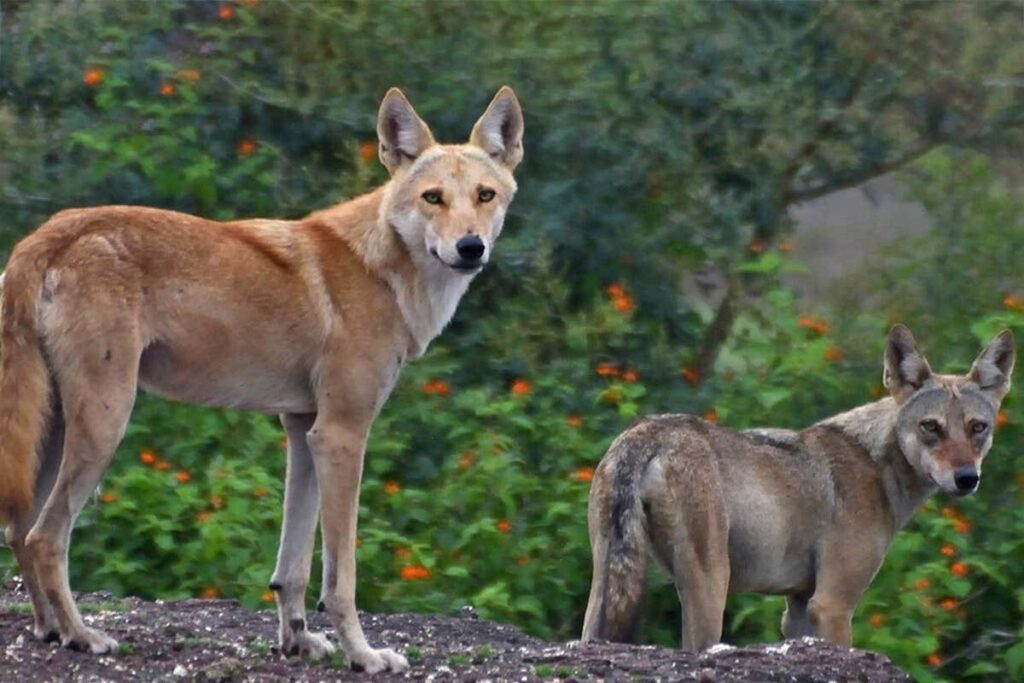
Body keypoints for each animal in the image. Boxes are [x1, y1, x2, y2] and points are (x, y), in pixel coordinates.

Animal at [0, 87, 524, 671]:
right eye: (433, 198)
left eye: (484, 195)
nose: (471, 247)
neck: (382, 271)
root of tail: (48, 234)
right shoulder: (342, 437)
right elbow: (341, 577)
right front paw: (364, 655)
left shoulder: (303, 432)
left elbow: (291, 569)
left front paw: (298, 643)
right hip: (104, 427)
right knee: (46, 537)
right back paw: (82, 635)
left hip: (54, 432)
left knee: (19, 529)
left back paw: (49, 630)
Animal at [585, 325, 1015, 651]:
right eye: (931, 427)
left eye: (978, 428)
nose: (966, 478)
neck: (878, 467)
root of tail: (646, 432)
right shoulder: (832, 605)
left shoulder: (797, 609)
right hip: (710, 589)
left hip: (608, 583)